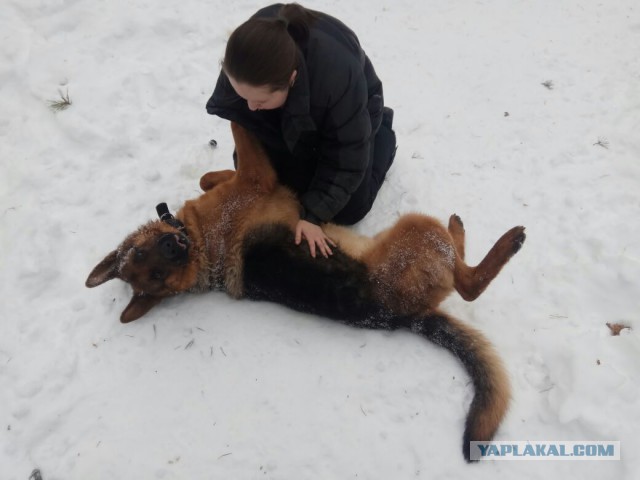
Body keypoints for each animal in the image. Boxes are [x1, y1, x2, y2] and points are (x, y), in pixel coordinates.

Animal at [85, 122, 524, 460]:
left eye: (147, 260)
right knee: (469, 283)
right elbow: (242, 134)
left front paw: (211, 173)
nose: (174, 247)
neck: (202, 242)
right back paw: (502, 240)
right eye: (154, 270)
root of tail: (402, 316)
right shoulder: (257, 175)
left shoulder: (249, 180)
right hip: (418, 230)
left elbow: (207, 177)